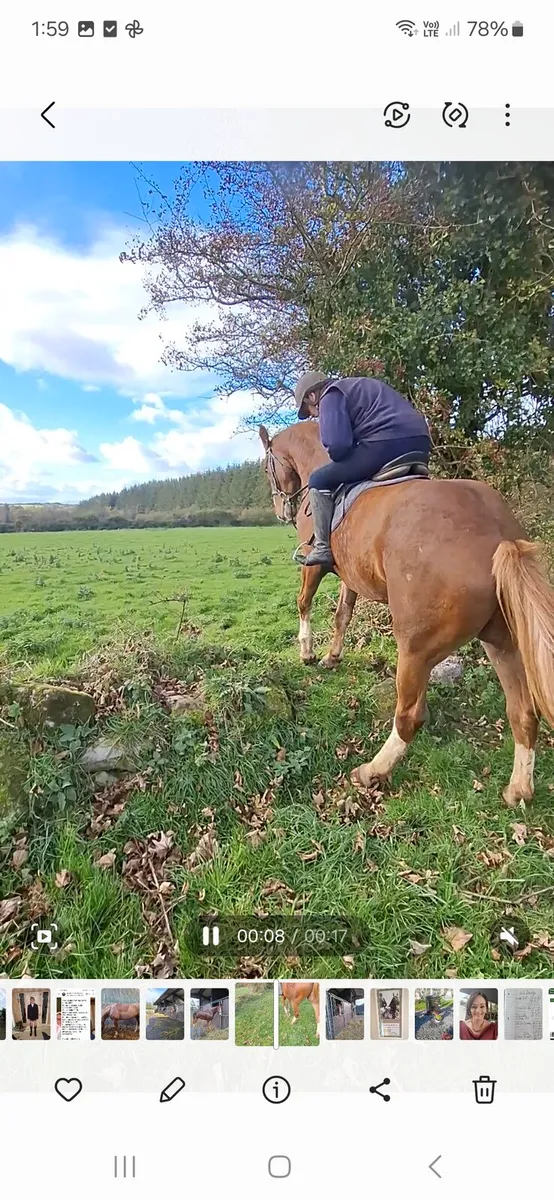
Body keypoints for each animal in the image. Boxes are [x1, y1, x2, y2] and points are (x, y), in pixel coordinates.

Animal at [260, 419, 554, 808]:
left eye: (266, 468)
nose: (282, 511)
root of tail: (498, 534)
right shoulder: (350, 578)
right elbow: (343, 615)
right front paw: (332, 657)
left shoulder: (314, 566)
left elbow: (304, 603)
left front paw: (307, 652)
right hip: (502, 643)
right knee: (523, 713)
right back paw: (519, 788)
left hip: (416, 648)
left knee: (409, 716)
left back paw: (372, 770)